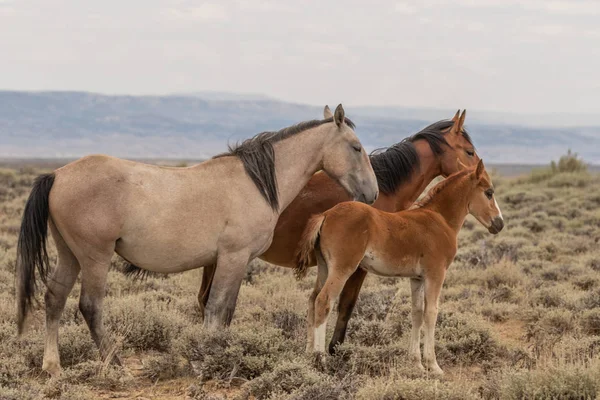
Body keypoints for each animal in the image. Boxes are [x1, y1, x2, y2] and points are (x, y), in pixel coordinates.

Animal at [16, 104, 378, 378]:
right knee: (90, 307)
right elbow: (218, 308)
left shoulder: (229, 262)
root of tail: (58, 175)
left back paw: (53, 367)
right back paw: (116, 364)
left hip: (70, 255)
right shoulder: (233, 258)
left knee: (54, 298)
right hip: (95, 258)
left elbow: (222, 310)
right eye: (356, 147)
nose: (372, 194)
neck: (254, 184)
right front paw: (210, 360)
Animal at [199, 108, 480, 352]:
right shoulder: (358, 267)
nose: (480, 172)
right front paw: (335, 349)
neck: (384, 189)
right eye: (469, 151)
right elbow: (346, 304)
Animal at [298, 159, 504, 376]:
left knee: (312, 300)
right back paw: (320, 360)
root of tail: (327, 214)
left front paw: (417, 363)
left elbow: (417, 313)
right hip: (342, 269)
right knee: (323, 301)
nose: (499, 224)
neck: (439, 219)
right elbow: (431, 313)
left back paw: (308, 355)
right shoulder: (436, 274)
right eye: (489, 192)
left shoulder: (417, 278)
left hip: (324, 267)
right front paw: (433, 365)